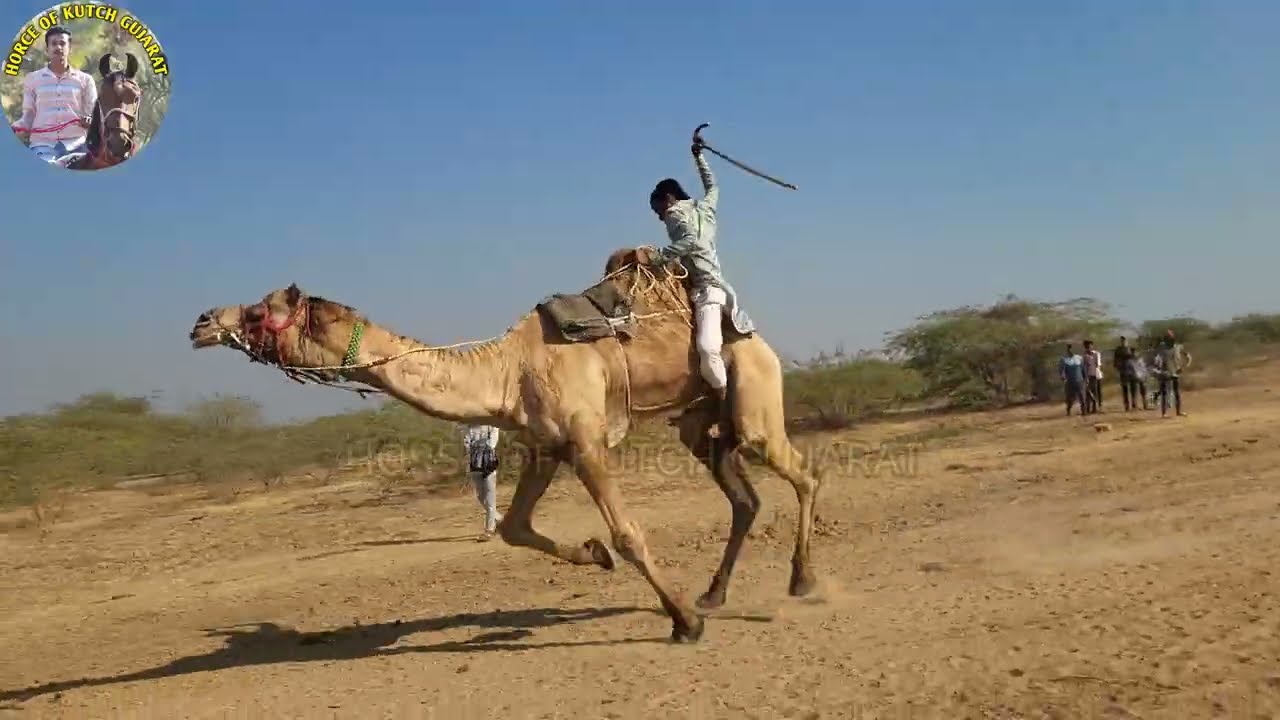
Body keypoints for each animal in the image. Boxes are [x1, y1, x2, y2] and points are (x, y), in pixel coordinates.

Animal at [187, 248, 828, 643]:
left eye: (258, 310)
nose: (201, 322)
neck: (505, 370)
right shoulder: (546, 445)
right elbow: (516, 529)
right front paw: (595, 554)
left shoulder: (587, 439)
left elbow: (629, 530)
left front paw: (683, 623)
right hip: (700, 421)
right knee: (744, 496)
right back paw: (716, 593)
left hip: (752, 391)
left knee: (802, 472)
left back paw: (801, 581)